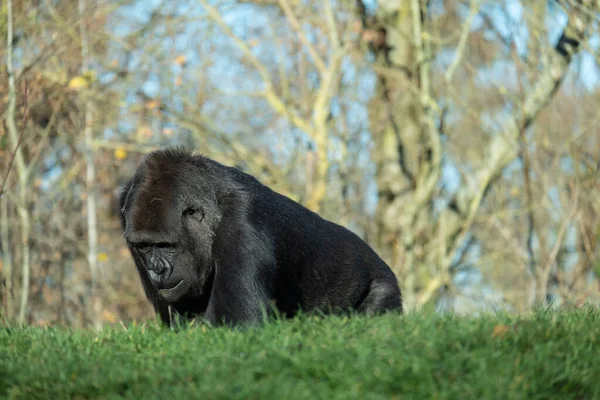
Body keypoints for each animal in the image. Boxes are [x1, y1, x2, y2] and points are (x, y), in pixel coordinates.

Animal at [119, 148, 400, 326]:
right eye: (144, 247)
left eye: (166, 245)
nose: (156, 270)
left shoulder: (242, 225)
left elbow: (241, 324)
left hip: (384, 283)